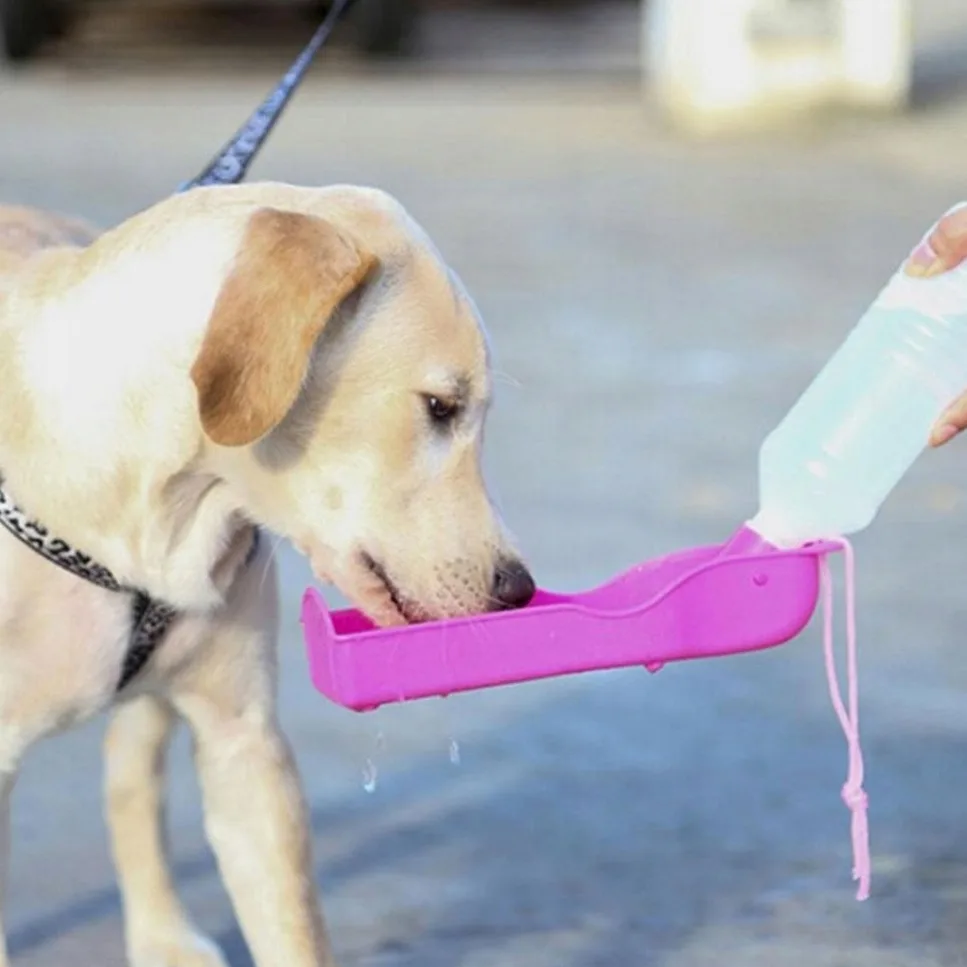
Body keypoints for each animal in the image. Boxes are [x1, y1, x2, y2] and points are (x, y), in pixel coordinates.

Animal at [0, 181, 535, 966]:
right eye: (441, 406)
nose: (517, 589)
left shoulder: (245, 747)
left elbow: (292, 929)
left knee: (132, 777)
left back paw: (161, 934)